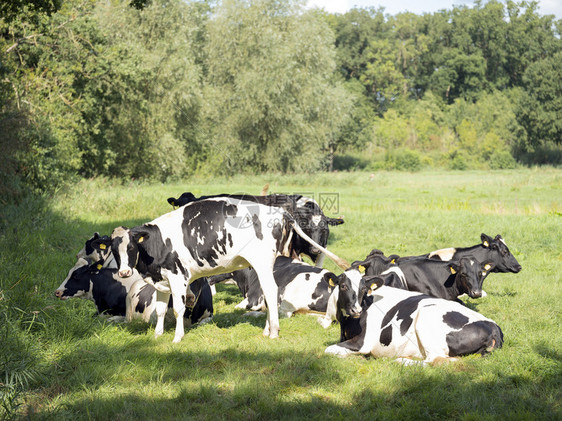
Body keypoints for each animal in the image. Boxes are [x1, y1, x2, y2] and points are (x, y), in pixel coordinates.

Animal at [91, 197, 346, 342]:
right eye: (114, 249)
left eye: (132, 246)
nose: (124, 273)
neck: (158, 242)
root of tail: (280, 212)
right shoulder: (162, 280)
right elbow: (162, 310)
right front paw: (157, 335)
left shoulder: (178, 277)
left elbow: (178, 309)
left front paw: (177, 337)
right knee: (268, 293)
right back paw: (267, 329)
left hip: (263, 262)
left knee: (271, 291)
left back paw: (273, 331)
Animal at [324, 272, 504, 364]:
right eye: (343, 286)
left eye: (364, 289)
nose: (356, 309)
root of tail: (493, 326)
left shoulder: (363, 342)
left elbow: (329, 350)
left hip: (426, 319)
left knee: (435, 360)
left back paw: (402, 361)